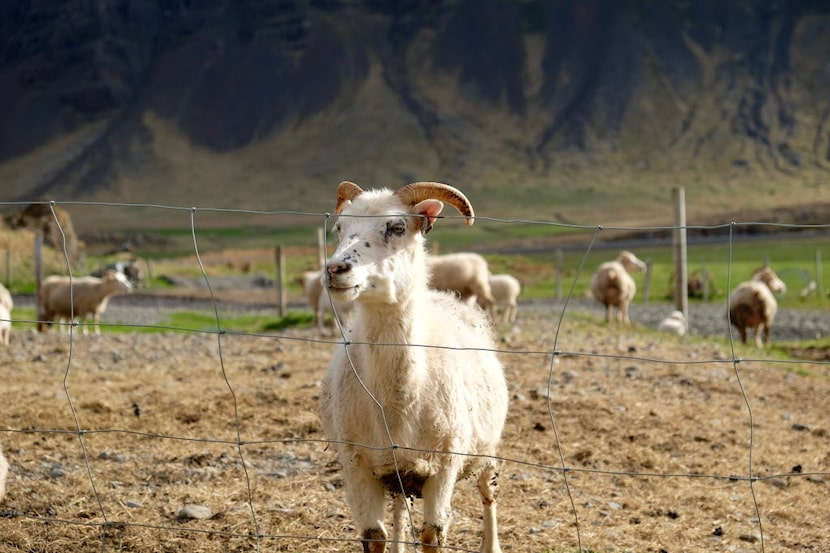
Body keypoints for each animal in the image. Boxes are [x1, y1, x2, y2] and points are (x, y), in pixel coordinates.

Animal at [320, 181, 510, 552]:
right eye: (340, 228)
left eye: (397, 227)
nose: (335, 270)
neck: (400, 397)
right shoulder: (356, 465)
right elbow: (374, 537)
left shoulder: (445, 465)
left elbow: (431, 536)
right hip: (395, 471)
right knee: (398, 508)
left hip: (487, 447)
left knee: (488, 493)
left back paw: (491, 543)